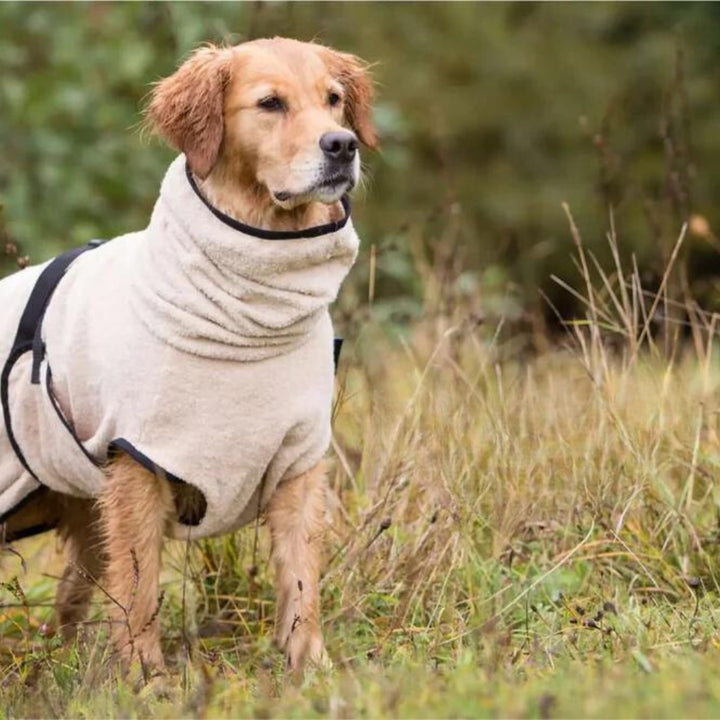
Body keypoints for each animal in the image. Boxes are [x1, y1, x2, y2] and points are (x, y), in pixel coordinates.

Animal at [2, 36, 376, 676]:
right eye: (270, 103)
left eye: (334, 100)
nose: (342, 145)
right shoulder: (138, 464)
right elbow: (140, 588)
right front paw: (144, 676)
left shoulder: (299, 459)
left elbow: (301, 579)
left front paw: (311, 667)